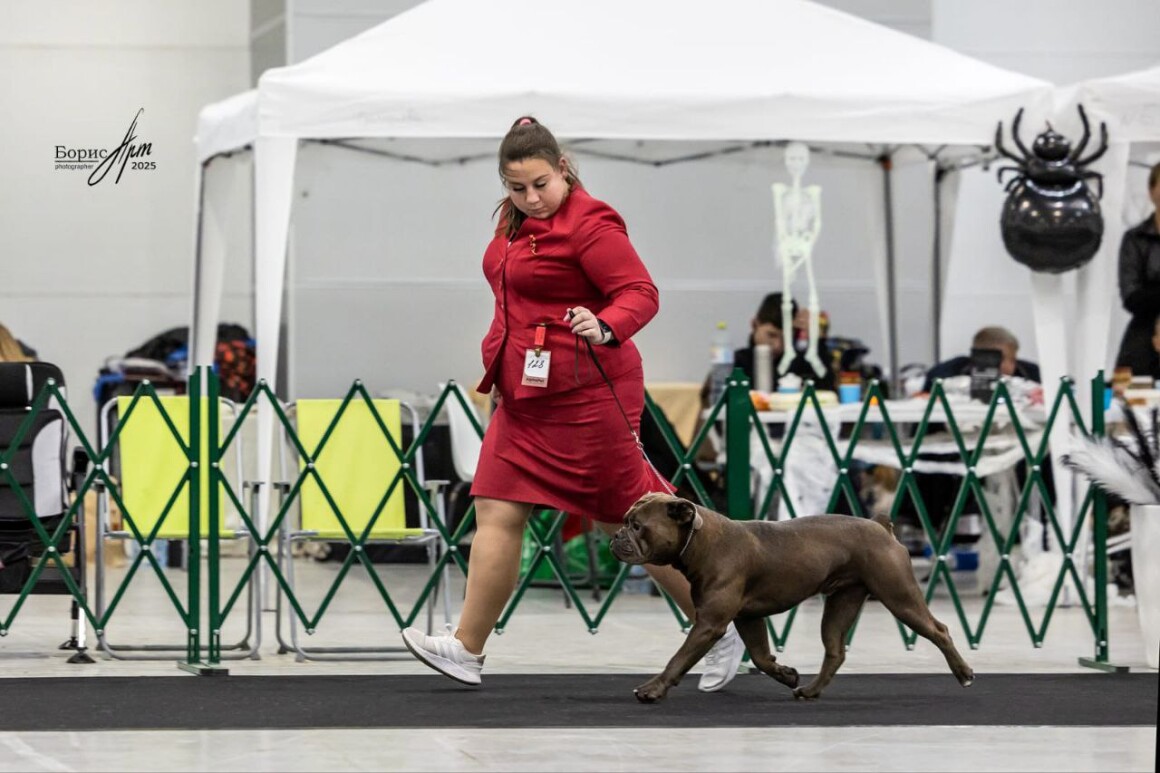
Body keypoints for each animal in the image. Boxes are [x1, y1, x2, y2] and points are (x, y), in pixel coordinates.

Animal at [609, 492, 974, 702]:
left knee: (939, 630)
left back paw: (964, 674)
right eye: (625, 521)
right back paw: (810, 691)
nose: (616, 535)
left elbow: (679, 659)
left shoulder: (710, 624)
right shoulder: (748, 618)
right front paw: (786, 674)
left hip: (900, 596)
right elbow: (760, 656)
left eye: (637, 526)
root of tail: (880, 526)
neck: (701, 540)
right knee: (835, 651)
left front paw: (652, 689)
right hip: (840, 606)